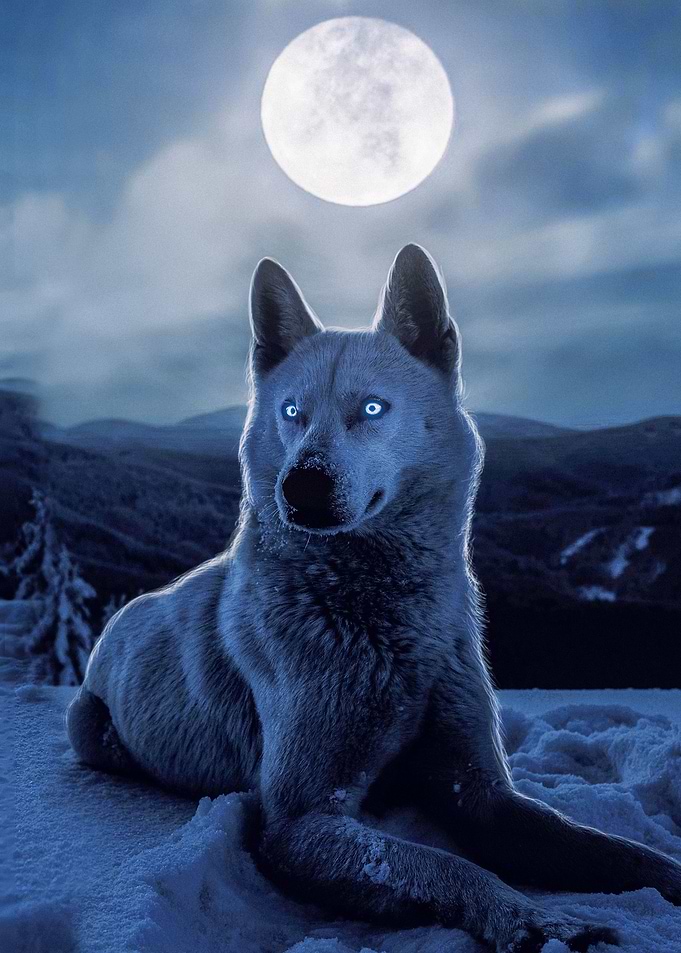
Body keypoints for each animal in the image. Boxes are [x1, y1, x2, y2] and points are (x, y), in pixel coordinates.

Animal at [67, 244, 681, 951]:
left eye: (371, 410)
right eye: (292, 413)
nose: (301, 486)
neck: (382, 623)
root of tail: (126, 612)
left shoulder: (480, 792)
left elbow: (610, 849)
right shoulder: (301, 823)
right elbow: (446, 865)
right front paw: (535, 921)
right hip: (86, 726)